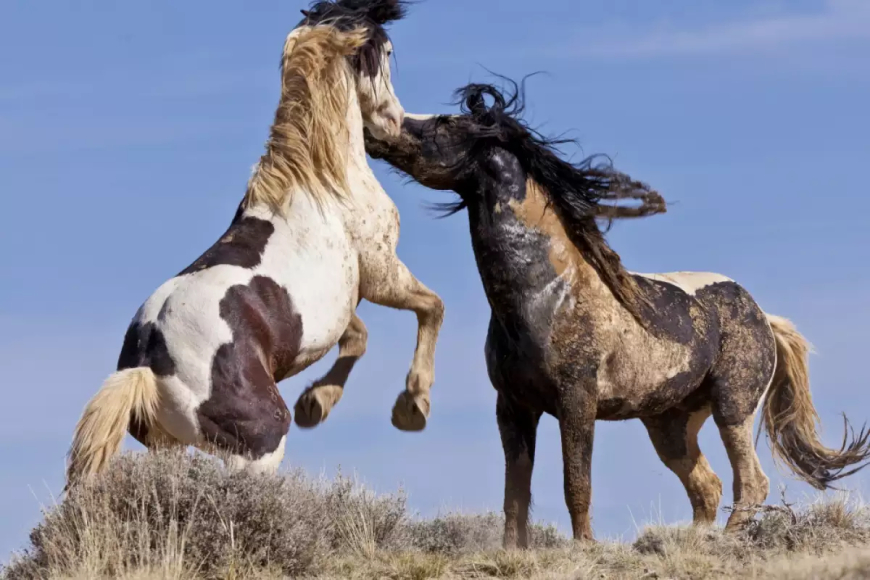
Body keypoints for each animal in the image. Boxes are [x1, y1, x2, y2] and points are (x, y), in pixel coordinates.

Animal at [69, 0, 446, 488]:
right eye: (386, 51)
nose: (394, 121)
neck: (321, 182)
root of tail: (148, 361)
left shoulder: (340, 306)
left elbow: (358, 337)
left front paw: (315, 403)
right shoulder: (381, 274)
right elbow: (431, 307)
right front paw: (413, 404)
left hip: (170, 448)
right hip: (259, 449)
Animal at [366, 82, 870, 548]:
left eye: (446, 123)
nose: (375, 127)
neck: (547, 295)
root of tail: (763, 315)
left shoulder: (576, 400)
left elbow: (576, 481)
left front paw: (584, 546)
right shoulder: (512, 405)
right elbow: (516, 491)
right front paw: (514, 550)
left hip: (733, 407)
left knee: (751, 482)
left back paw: (726, 541)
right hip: (669, 424)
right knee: (706, 487)